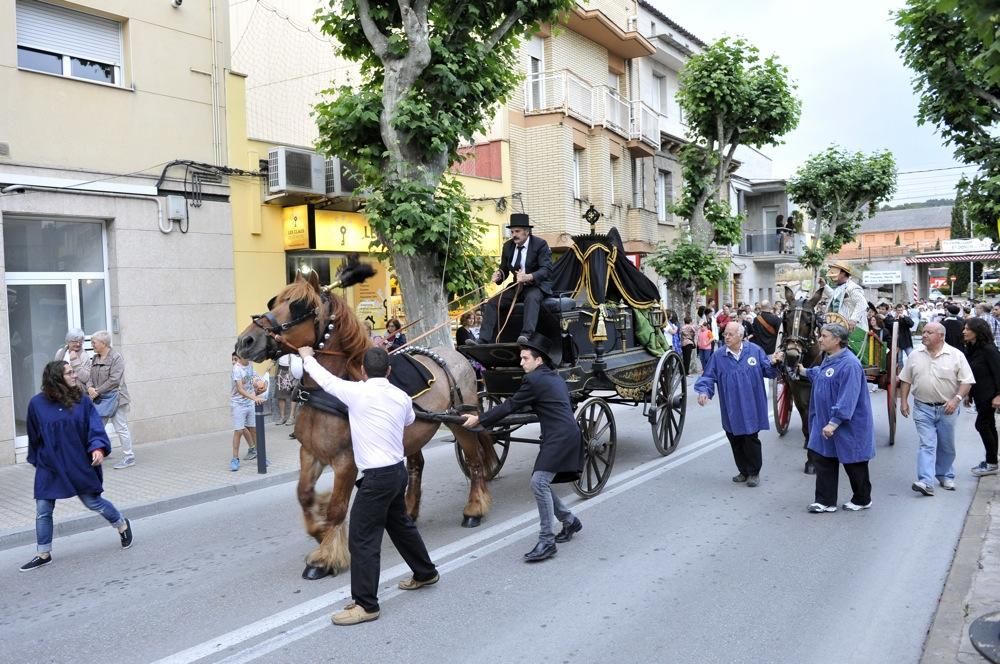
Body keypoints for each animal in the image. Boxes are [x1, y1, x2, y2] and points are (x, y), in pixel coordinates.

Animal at [238, 272, 496, 580]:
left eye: (298, 306)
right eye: (274, 301)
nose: (246, 341)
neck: (332, 388)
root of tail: (456, 355)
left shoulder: (345, 461)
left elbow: (337, 508)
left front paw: (325, 558)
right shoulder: (310, 453)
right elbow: (304, 495)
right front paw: (320, 532)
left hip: (462, 423)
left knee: (476, 461)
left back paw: (474, 510)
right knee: (416, 467)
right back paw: (410, 511)